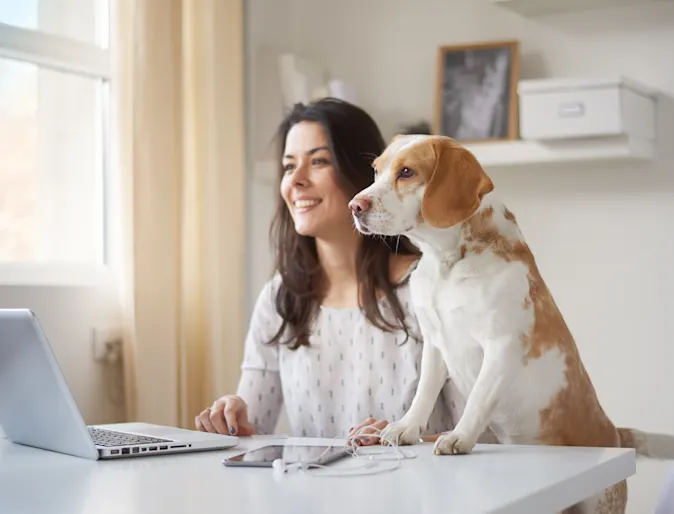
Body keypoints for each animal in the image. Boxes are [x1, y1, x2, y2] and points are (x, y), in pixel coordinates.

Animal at [346, 135, 672, 512]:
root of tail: (615, 434)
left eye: (407, 172)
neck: (448, 264)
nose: (354, 206)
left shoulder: (501, 344)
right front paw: (407, 428)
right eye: (376, 170)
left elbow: (477, 399)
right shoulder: (434, 344)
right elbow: (423, 394)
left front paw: (459, 437)